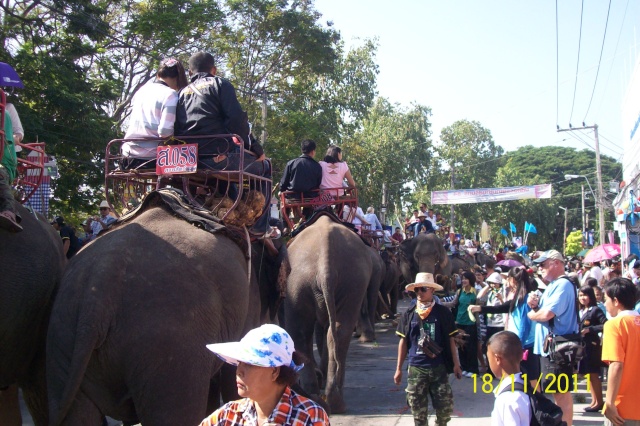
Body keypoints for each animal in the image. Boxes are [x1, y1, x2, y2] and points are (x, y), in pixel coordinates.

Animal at [284, 215, 376, 414]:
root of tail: (326, 261)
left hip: (304, 282)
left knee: (303, 330)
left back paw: (320, 395)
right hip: (350, 281)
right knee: (337, 331)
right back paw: (331, 399)